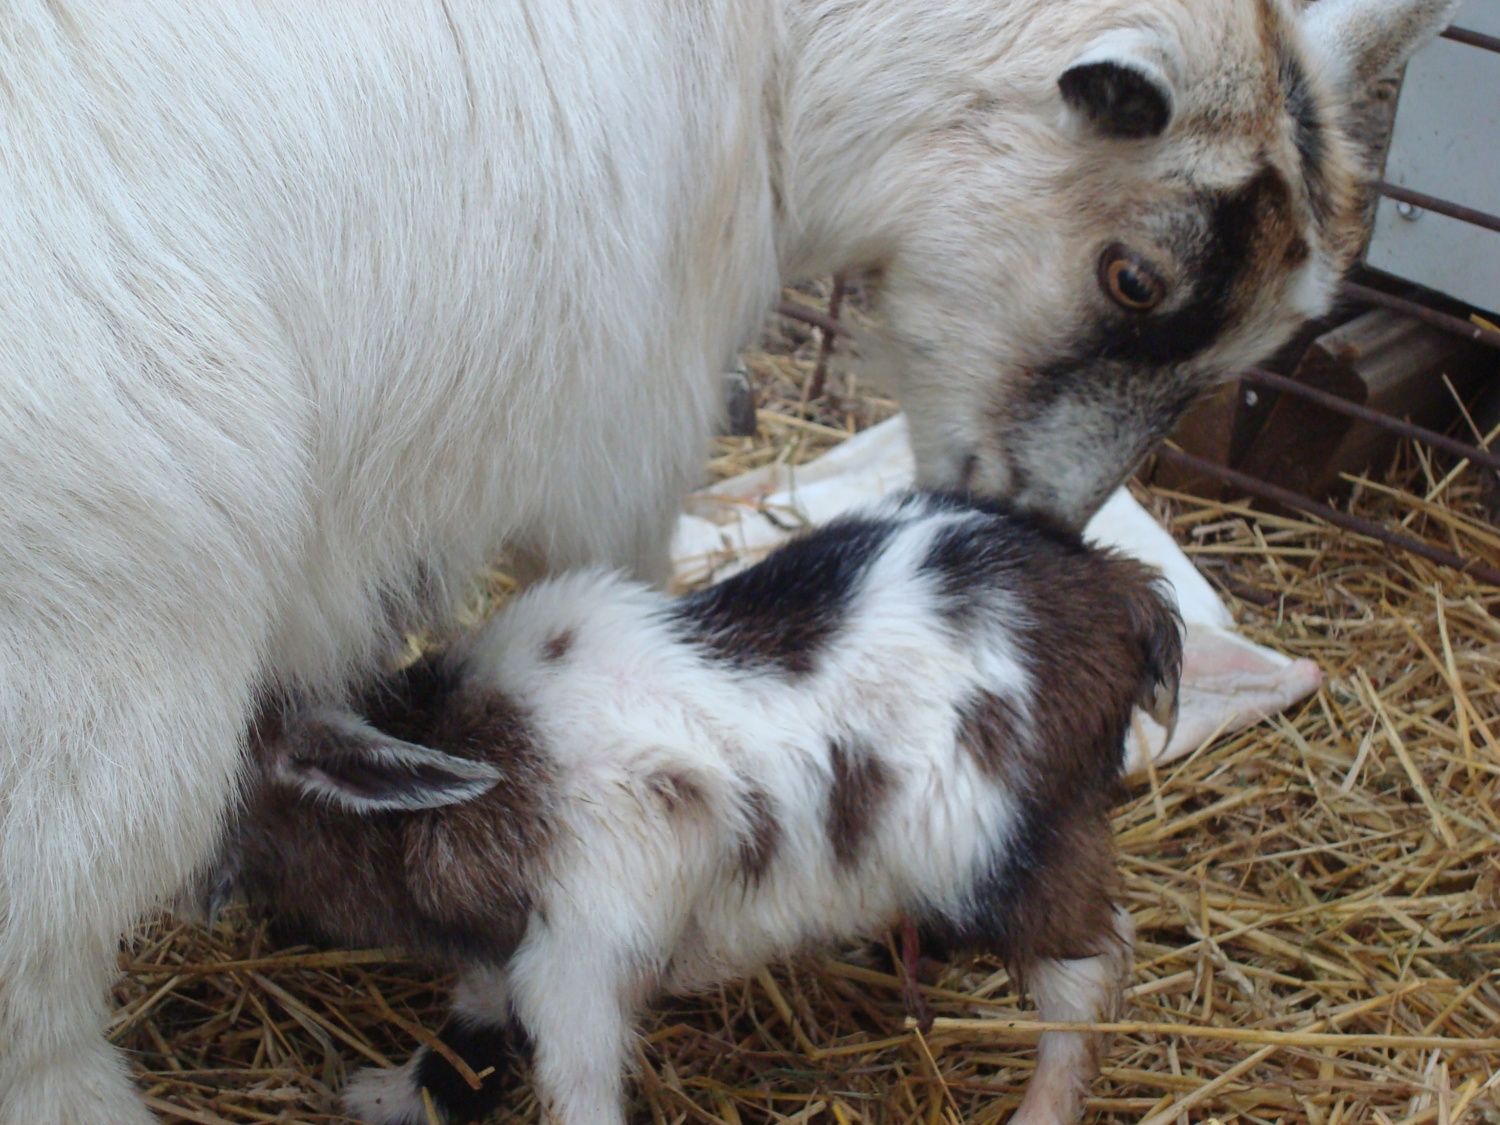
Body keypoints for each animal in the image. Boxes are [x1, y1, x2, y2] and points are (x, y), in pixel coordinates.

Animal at [231, 491, 1184, 1124]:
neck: (486, 753)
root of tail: (1123, 593)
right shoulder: (515, 945)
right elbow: (472, 1025)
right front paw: (391, 1091)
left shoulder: (582, 955)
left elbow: (576, 1085)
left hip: (1002, 851)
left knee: (1094, 966)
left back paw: (1040, 1107)